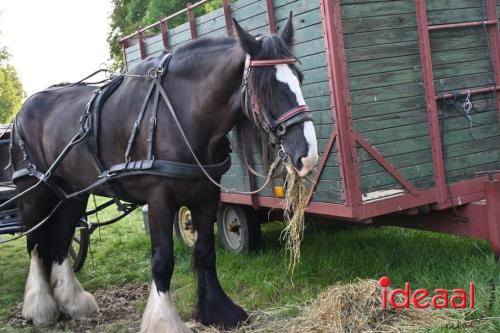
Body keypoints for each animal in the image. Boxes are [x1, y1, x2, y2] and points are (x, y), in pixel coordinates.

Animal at [11, 16, 318, 332]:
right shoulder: (159, 197)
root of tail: (21, 112)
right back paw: (39, 307)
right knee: (34, 243)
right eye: (265, 87)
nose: (307, 154)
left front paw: (218, 311)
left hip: (72, 193)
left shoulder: (207, 195)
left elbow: (205, 251)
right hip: (36, 192)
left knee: (61, 240)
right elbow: (163, 261)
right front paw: (164, 320)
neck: (180, 113)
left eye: (299, 78)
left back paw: (73, 302)